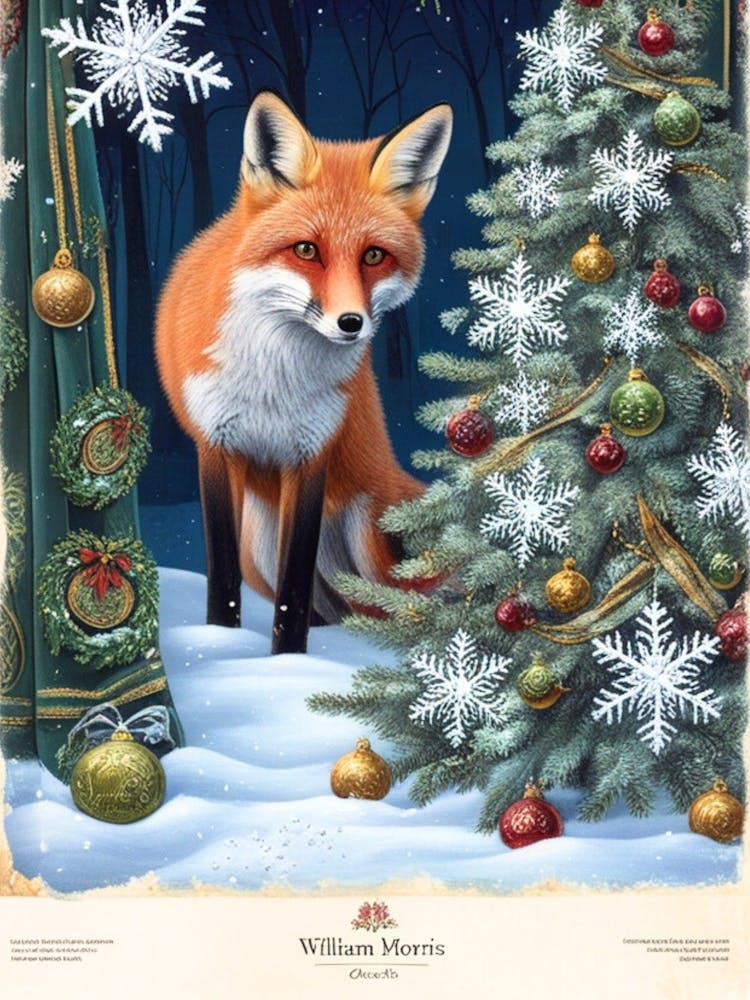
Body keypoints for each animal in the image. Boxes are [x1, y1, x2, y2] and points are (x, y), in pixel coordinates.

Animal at [155, 90, 452, 654]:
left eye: (374, 256)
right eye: (307, 250)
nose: (351, 323)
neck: (274, 377)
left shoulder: (310, 451)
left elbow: (294, 587)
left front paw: (287, 659)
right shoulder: (215, 445)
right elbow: (225, 578)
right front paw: (225, 645)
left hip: (370, 534)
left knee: (404, 606)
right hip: (259, 544)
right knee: (338, 609)